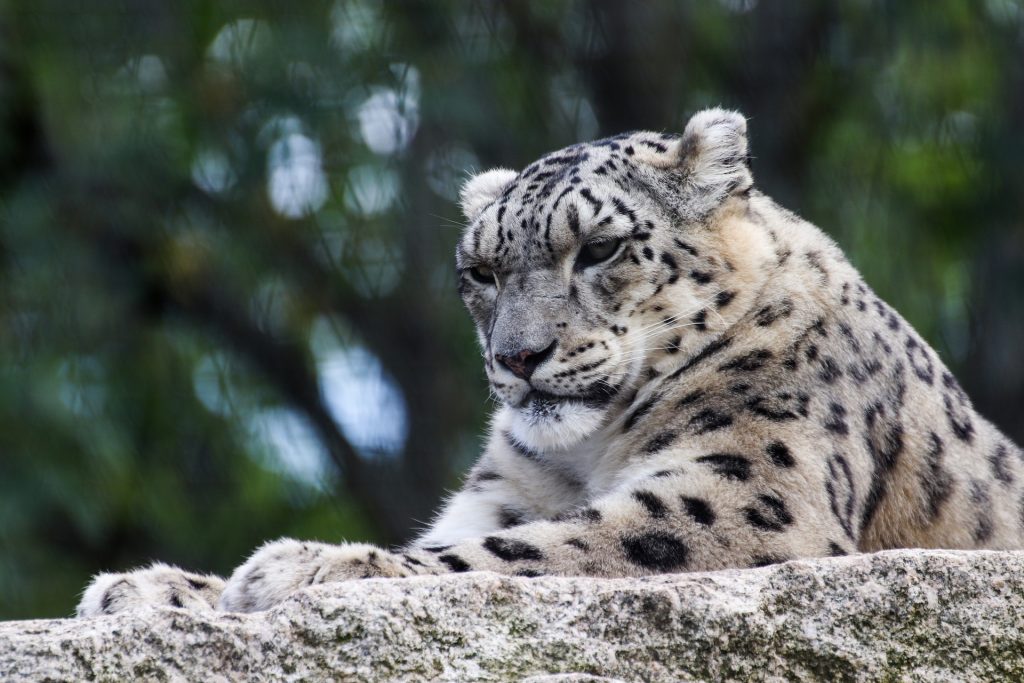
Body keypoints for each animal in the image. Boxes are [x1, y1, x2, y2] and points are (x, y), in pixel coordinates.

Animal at [77, 108, 1024, 617]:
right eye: (481, 272)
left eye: (600, 247)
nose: (519, 355)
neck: (586, 453)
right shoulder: (501, 493)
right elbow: (473, 539)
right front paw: (150, 588)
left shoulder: (744, 495)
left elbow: (528, 550)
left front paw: (304, 566)